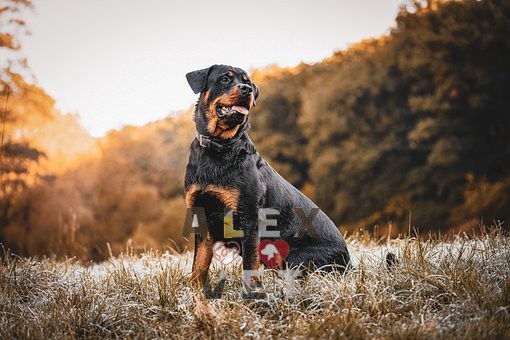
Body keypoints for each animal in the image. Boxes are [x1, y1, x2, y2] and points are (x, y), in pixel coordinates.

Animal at [183, 64, 350, 290]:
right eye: (225, 79)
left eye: (247, 82)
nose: (247, 90)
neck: (219, 147)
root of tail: (349, 262)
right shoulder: (202, 217)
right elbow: (198, 267)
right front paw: (195, 294)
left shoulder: (248, 219)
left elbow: (249, 266)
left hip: (292, 254)